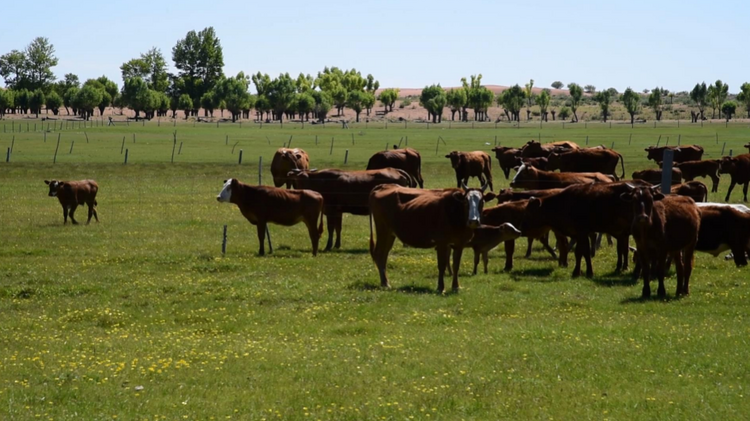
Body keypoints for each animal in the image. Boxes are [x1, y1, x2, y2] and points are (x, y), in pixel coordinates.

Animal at [286, 166, 414, 249]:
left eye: (304, 178)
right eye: (297, 179)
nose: (302, 189)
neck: (322, 181)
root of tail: (395, 170)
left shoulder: (331, 209)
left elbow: (331, 228)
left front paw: (328, 246)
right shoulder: (338, 211)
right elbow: (338, 228)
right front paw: (337, 245)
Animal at [524, 180, 656, 276]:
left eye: (529, 213)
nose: (523, 228)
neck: (565, 202)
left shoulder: (581, 232)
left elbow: (580, 252)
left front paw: (578, 272)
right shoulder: (581, 234)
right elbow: (584, 252)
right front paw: (587, 271)